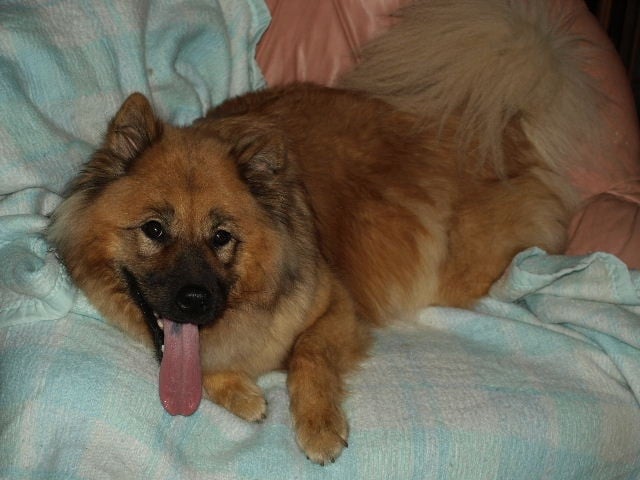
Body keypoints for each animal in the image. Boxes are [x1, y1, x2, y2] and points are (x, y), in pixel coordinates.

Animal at [48, 0, 599, 465]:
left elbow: (309, 356)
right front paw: (242, 392)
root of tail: (501, 124)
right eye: (154, 229)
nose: (195, 300)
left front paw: (319, 427)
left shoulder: (336, 306)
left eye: (221, 237)